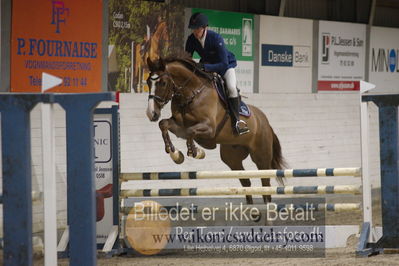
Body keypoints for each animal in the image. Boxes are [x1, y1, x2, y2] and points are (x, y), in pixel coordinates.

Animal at [145, 56, 286, 204]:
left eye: (163, 83)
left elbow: (190, 132)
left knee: (265, 182)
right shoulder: (179, 126)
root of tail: (266, 123)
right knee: (246, 182)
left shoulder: (209, 129)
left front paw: (196, 152)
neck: (192, 94)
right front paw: (174, 153)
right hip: (232, 158)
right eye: (148, 82)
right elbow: (163, 124)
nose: (151, 113)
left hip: (261, 155)